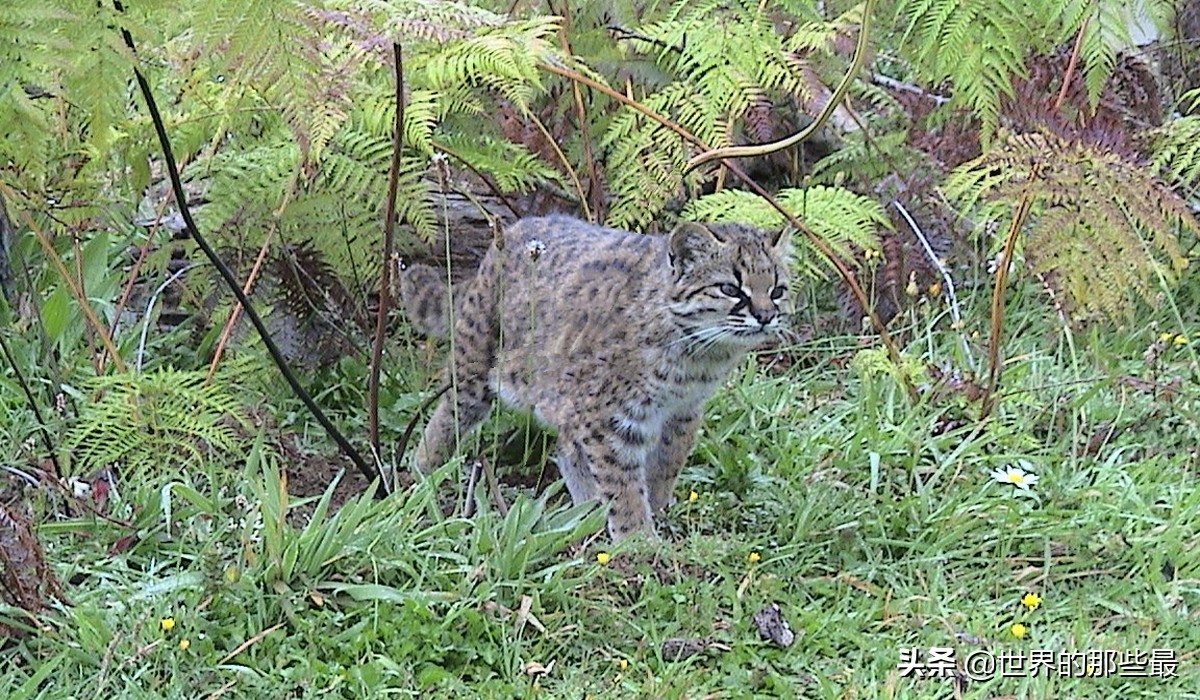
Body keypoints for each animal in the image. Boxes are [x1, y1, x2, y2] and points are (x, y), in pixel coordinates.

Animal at [403, 216, 792, 540]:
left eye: (777, 290)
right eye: (730, 289)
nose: (765, 316)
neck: (697, 355)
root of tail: (512, 231)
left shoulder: (682, 411)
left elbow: (667, 462)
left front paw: (656, 512)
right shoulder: (610, 418)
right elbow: (623, 485)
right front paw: (640, 544)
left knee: (565, 448)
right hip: (475, 364)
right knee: (449, 416)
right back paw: (422, 472)